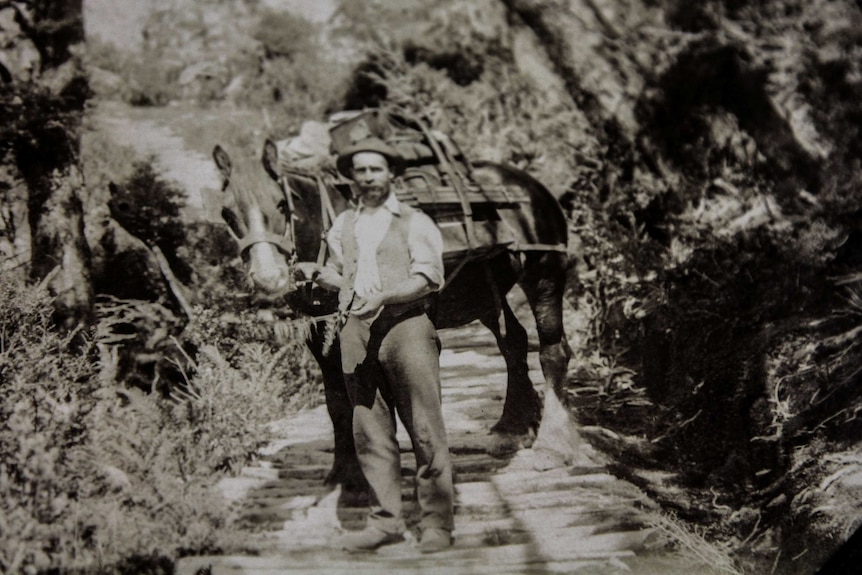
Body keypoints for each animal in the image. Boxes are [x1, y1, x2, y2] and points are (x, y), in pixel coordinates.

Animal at [213, 143, 584, 490]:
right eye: (228, 214)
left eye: (280, 204)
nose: (268, 278)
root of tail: (530, 184)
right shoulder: (320, 336)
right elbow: (336, 402)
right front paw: (344, 473)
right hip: (483, 290)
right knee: (513, 342)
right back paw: (513, 427)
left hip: (544, 272)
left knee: (552, 351)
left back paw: (552, 445)